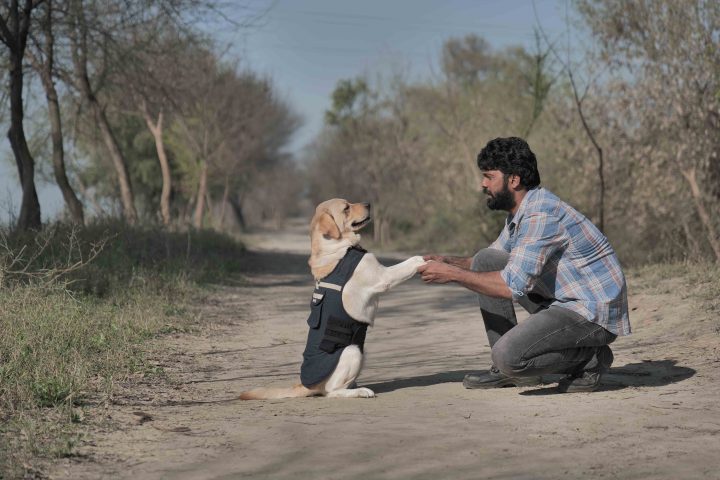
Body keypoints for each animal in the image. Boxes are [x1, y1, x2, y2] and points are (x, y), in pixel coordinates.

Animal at [239, 197, 424, 400]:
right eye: (346, 208)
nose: (368, 204)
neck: (339, 246)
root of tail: (305, 385)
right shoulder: (383, 276)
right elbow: (411, 261)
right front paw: (425, 260)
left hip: (361, 349)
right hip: (352, 351)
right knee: (332, 391)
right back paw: (360, 391)